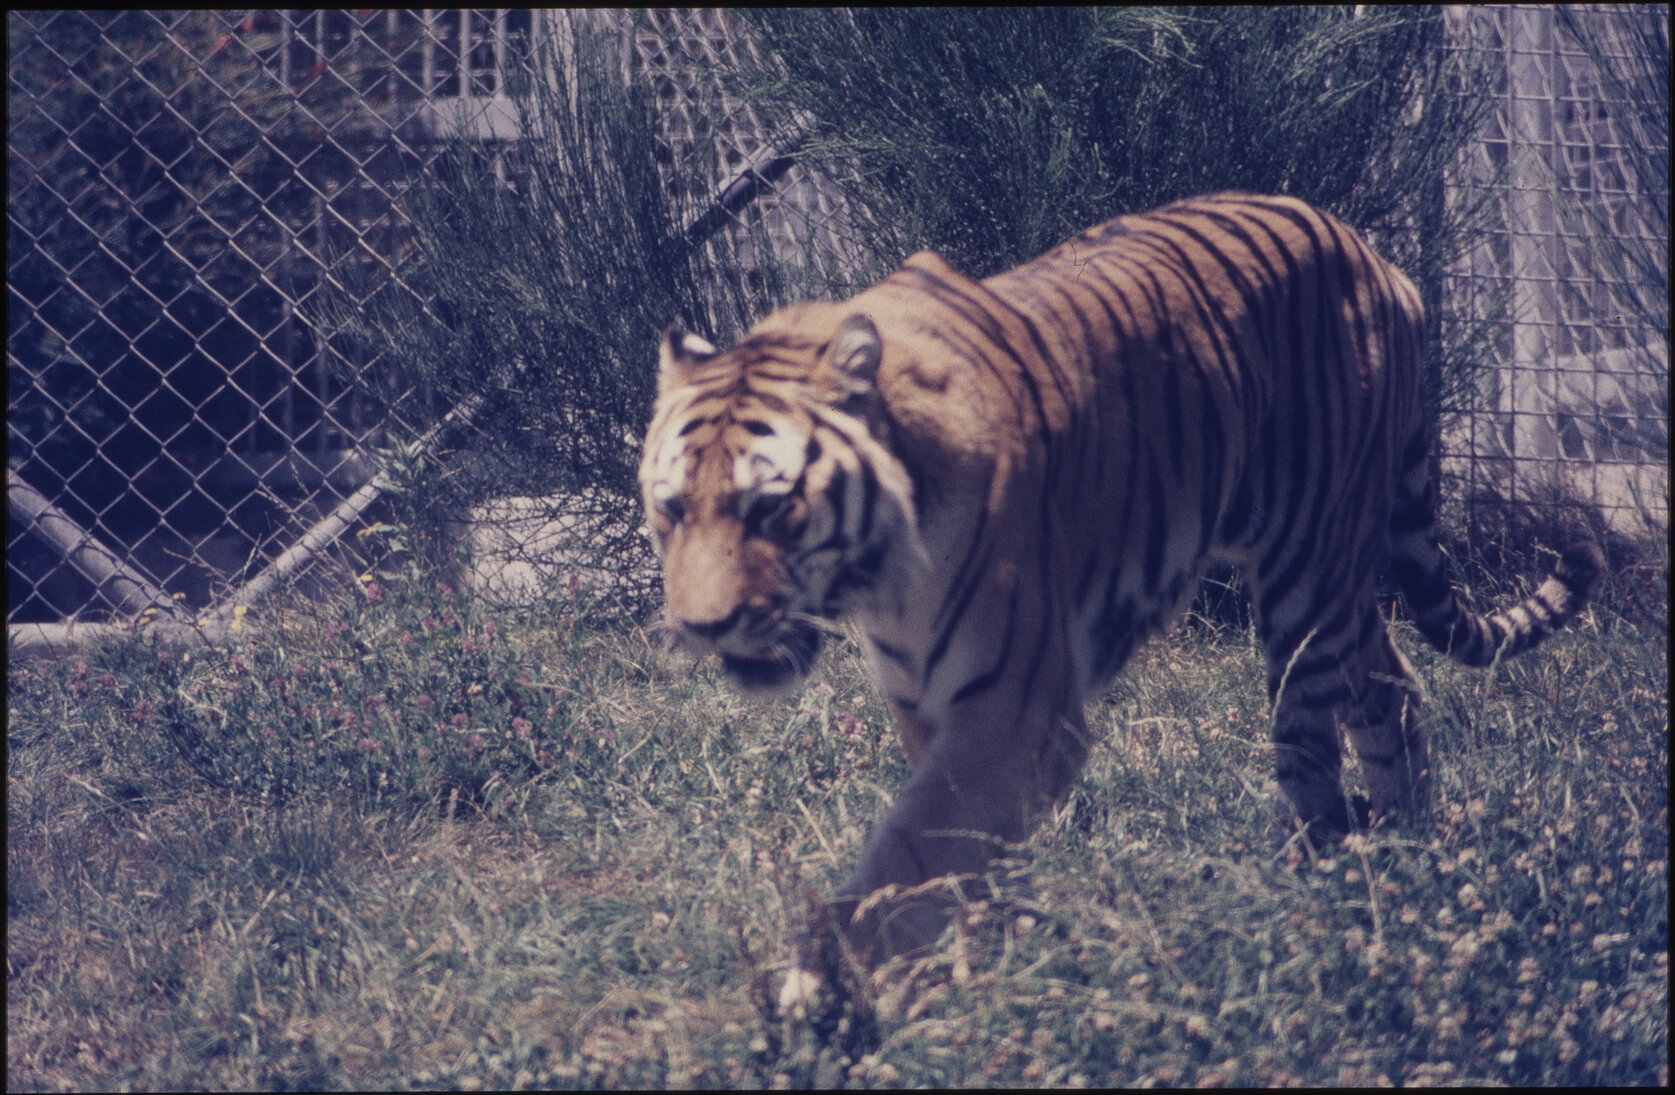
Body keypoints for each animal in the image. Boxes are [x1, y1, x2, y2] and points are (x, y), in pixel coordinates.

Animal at [637, 192, 1604, 974]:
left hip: (1302, 577)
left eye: (771, 508)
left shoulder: (1018, 711)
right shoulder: (925, 706)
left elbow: (907, 854)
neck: (879, 579)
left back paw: (1308, 893)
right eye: (673, 507)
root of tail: (1376, 257)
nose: (701, 626)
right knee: (1390, 681)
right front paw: (971, 963)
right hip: (1332, 580)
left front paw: (829, 995)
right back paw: (1413, 851)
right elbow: (950, 854)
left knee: (1310, 749)